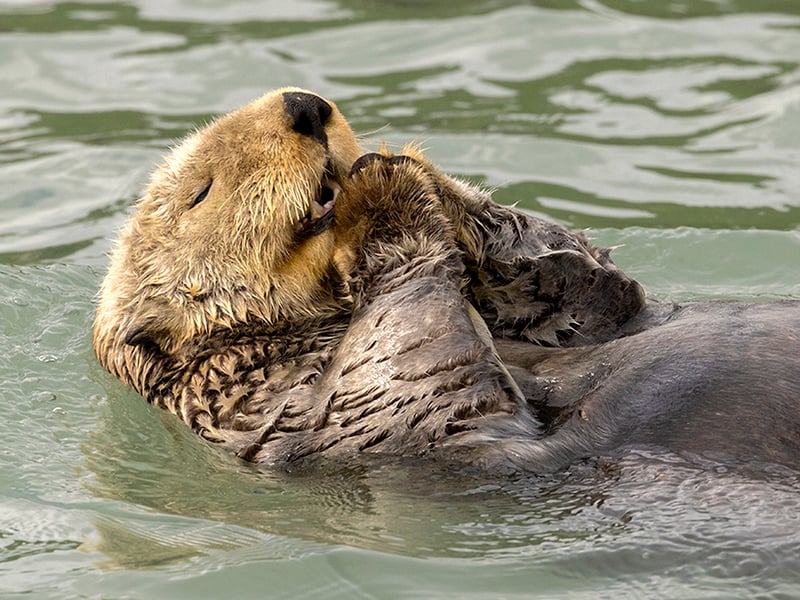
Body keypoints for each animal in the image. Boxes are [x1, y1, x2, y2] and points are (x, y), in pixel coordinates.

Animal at [94, 87, 800, 473]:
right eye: (200, 191)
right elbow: (411, 383)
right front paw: (381, 199)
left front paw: (404, 165)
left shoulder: (592, 311)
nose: (305, 107)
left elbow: (595, 290)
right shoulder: (267, 405)